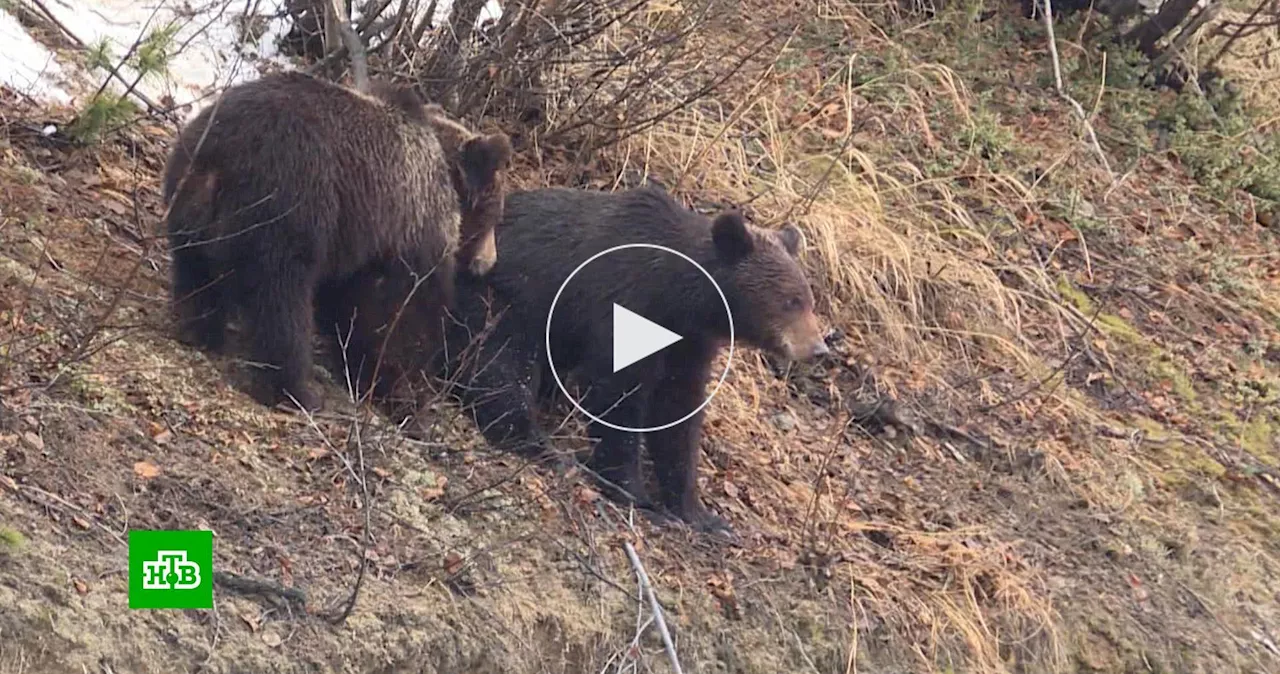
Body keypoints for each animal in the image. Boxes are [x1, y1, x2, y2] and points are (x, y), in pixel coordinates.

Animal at [162, 72, 512, 411]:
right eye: (494, 216)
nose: (489, 262)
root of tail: (218, 156)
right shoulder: (405, 225)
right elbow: (399, 313)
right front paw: (402, 390)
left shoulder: (356, 237)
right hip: (288, 202)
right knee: (281, 299)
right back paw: (297, 390)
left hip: (188, 197)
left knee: (197, 273)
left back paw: (200, 330)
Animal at [430, 182, 829, 532]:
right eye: (790, 300)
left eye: (809, 300)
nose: (818, 348)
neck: (681, 298)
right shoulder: (622, 304)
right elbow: (617, 395)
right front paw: (633, 489)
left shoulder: (689, 345)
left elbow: (678, 413)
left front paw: (701, 513)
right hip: (501, 299)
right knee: (501, 365)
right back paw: (539, 445)